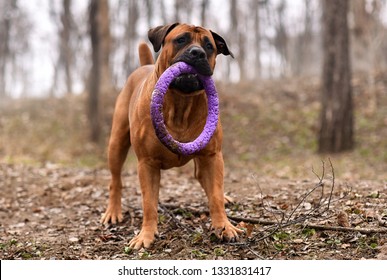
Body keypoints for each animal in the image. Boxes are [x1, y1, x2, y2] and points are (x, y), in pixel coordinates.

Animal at [101, 22, 244, 249]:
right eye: (181, 40)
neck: (181, 102)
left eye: (209, 46)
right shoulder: (147, 164)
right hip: (116, 143)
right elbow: (149, 203)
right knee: (115, 180)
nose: (197, 53)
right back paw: (113, 212)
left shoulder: (212, 156)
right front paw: (145, 236)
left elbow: (215, 196)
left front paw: (224, 227)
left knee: (204, 179)